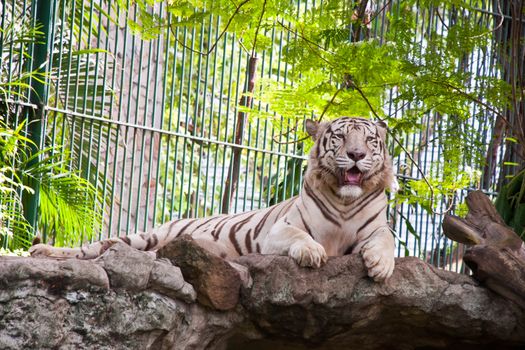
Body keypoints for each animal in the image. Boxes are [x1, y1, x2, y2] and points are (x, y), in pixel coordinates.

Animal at [29, 117, 398, 282]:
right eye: (340, 137)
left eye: (369, 140)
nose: (356, 154)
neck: (345, 201)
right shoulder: (280, 229)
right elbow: (301, 236)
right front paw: (311, 252)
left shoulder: (376, 228)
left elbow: (387, 241)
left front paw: (380, 266)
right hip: (145, 235)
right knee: (90, 250)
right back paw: (42, 251)